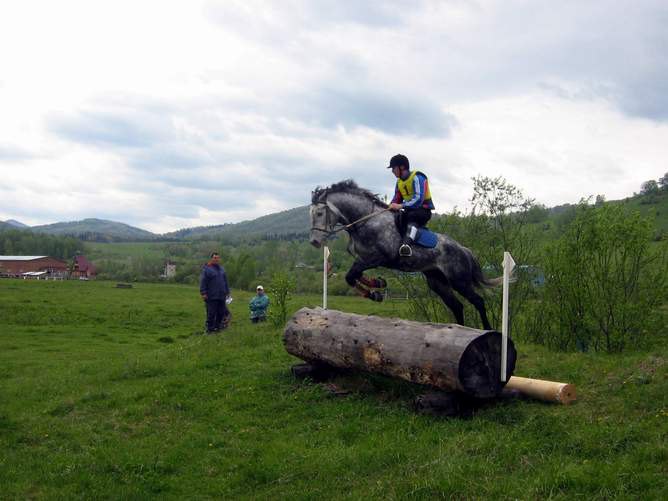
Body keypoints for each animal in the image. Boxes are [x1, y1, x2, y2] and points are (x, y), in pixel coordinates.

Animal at [310, 179, 498, 328]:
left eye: (319, 213)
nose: (314, 242)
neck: (366, 221)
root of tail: (463, 249)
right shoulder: (364, 259)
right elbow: (352, 275)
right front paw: (377, 285)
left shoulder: (378, 258)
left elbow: (351, 275)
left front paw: (376, 290)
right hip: (437, 281)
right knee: (457, 306)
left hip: (459, 280)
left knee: (478, 301)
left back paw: (487, 329)